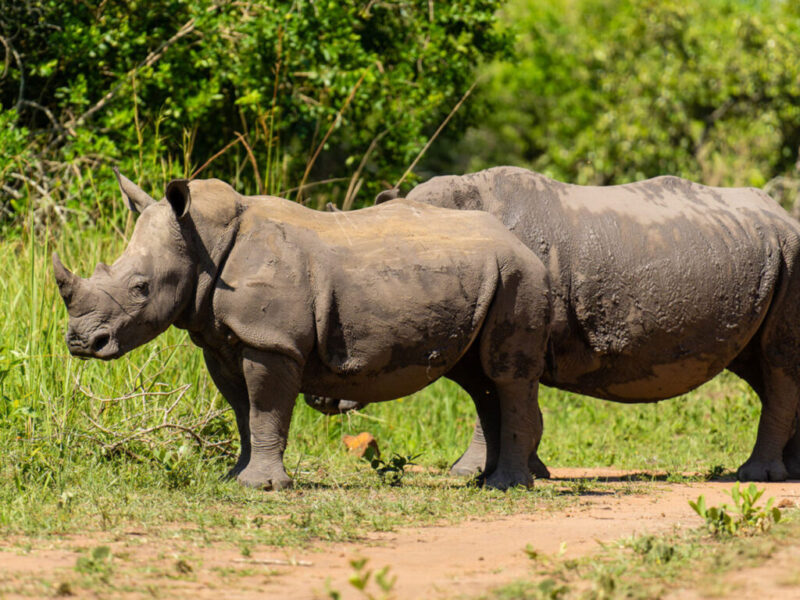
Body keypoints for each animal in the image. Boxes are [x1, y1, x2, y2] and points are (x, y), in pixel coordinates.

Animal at [53, 170, 554, 490]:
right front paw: (234, 478)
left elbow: (265, 409)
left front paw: (261, 487)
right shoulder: (222, 341)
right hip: (489, 276)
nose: (81, 341)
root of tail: (520, 242)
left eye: (141, 288)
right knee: (477, 378)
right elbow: (243, 413)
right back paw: (484, 481)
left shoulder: (271, 341)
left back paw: (507, 487)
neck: (203, 243)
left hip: (517, 275)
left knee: (505, 376)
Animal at [308, 166, 800, 482]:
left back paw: (757, 477)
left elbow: (497, 395)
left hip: (791, 255)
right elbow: (488, 397)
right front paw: (507, 470)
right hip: (763, 255)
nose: (320, 398)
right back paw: (790, 471)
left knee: (777, 363)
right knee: (760, 366)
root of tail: (785, 215)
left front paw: (488, 472)